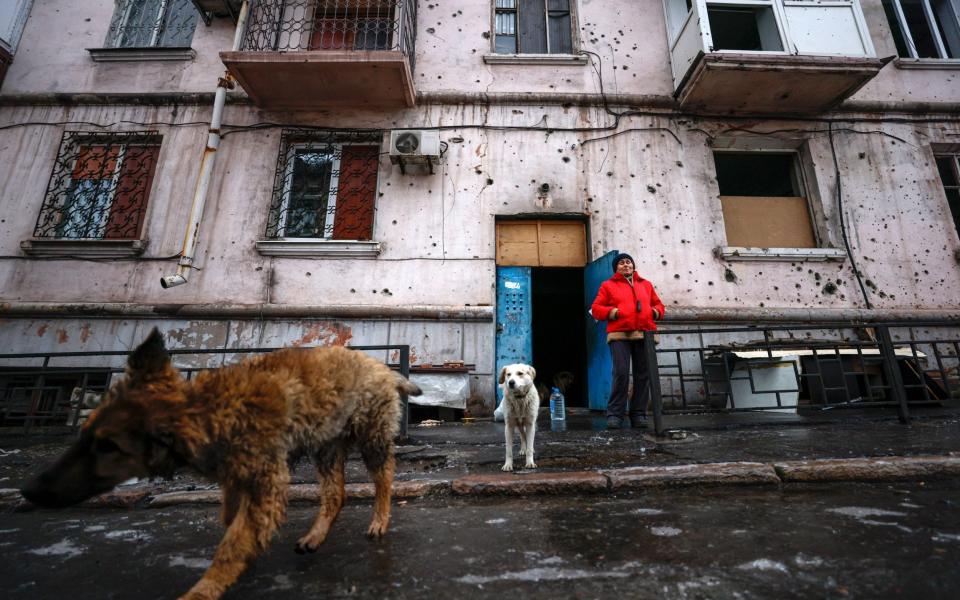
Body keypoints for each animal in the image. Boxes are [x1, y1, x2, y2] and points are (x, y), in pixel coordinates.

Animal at [19, 328, 420, 600]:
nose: (29, 490)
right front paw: (244, 544)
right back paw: (315, 535)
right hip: (325, 445)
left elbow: (231, 543)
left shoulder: (267, 480)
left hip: (369, 437)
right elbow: (232, 519)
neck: (211, 413)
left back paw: (379, 520)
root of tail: (382, 368)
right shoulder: (241, 475)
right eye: (85, 435)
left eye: (108, 445)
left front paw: (206, 588)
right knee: (336, 495)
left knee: (384, 477)